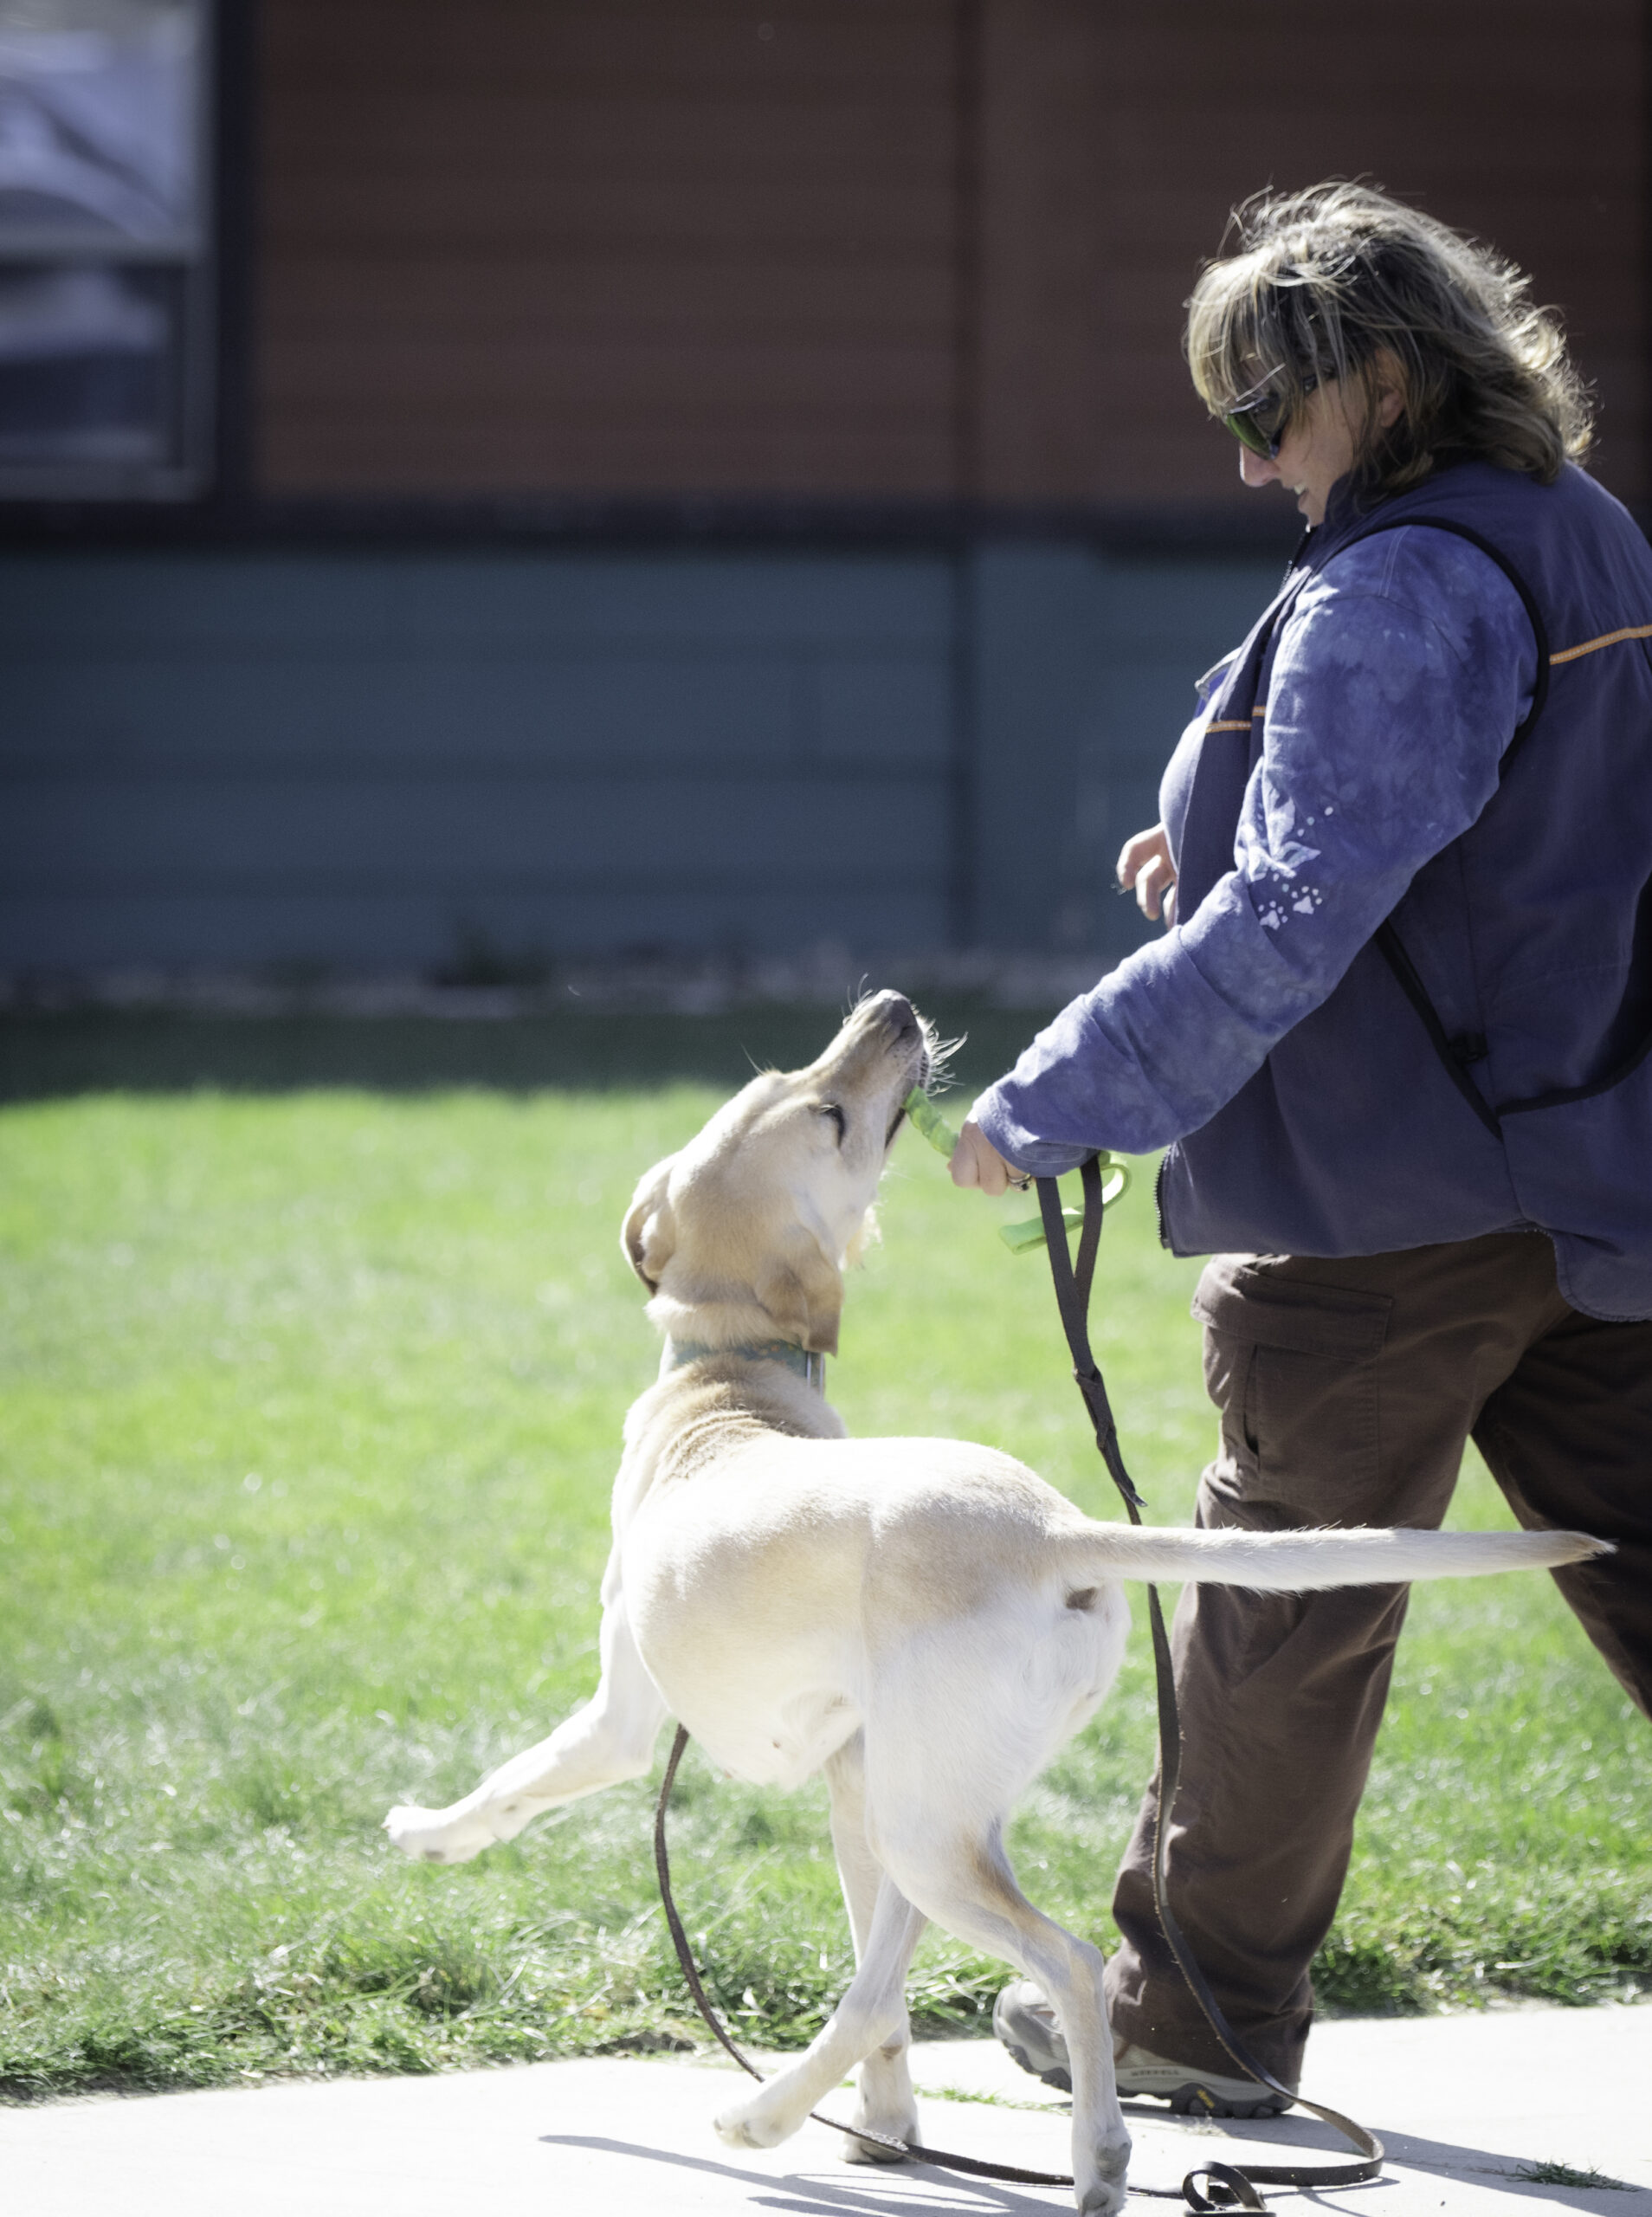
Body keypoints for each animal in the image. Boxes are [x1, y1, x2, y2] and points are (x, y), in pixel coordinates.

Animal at [384, 998, 1596, 2207]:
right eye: (813, 1103)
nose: (891, 1010)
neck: (731, 1379)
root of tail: (1056, 1529)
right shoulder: (846, 1778)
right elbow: (876, 1997)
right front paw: (886, 2124)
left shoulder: (623, 1719)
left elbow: (514, 1783)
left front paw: (428, 1834)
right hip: (926, 1809)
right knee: (883, 1988)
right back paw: (825, 2120)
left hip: (924, 1832)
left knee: (1057, 1961)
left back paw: (1047, 2150)